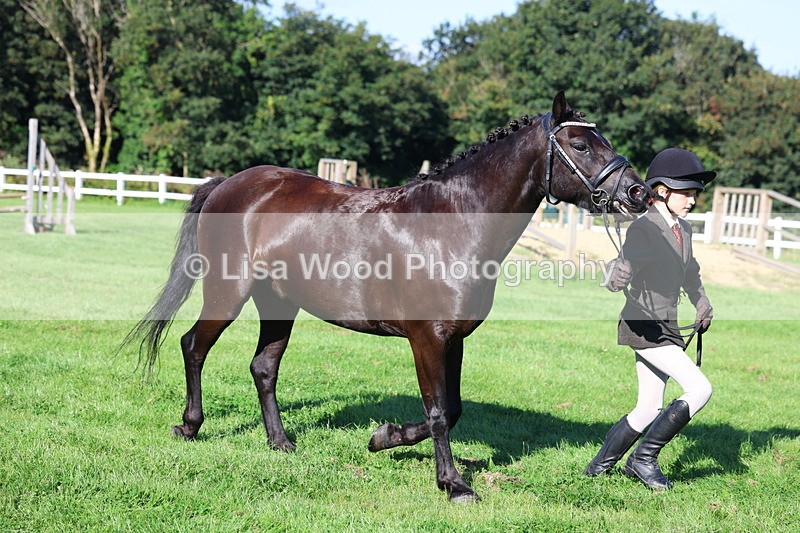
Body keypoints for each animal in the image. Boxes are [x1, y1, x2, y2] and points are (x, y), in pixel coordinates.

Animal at [124, 91, 650, 502]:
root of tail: (230, 184)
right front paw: (454, 484)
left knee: (263, 368)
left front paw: (384, 437)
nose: (638, 193)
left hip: (279, 304)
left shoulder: (454, 340)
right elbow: (437, 413)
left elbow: (451, 410)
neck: (452, 225)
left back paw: (281, 442)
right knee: (193, 347)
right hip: (227, 293)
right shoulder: (427, 339)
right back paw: (189, 426)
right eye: (580, 143)